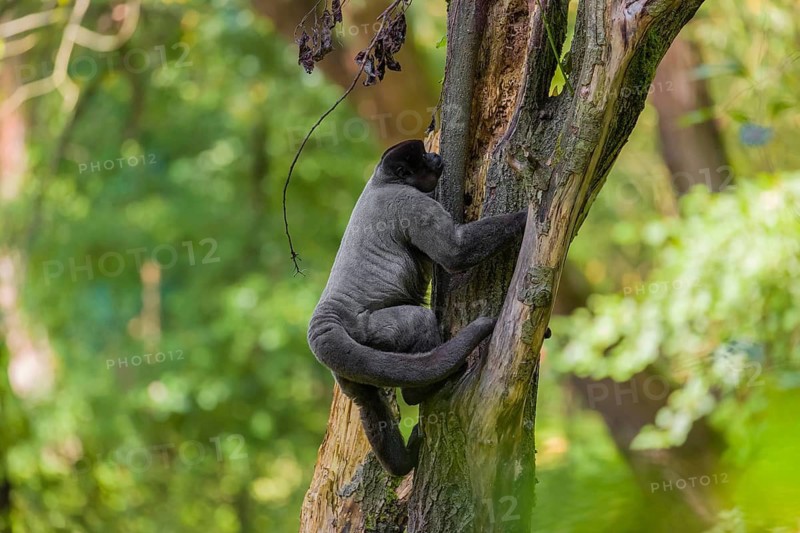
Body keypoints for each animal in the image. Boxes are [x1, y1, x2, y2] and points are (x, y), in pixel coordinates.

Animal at [307, 139, 527, 476]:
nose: (435, 156)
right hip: (374, 328)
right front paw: (528, 216)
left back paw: (402, 461)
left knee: (367, 403)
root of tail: (325, 321)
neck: (383, 179)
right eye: (422, 156)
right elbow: (454, 252)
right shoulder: (410, 204)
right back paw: (425, 389)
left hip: (346, 371)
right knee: (418, 321)